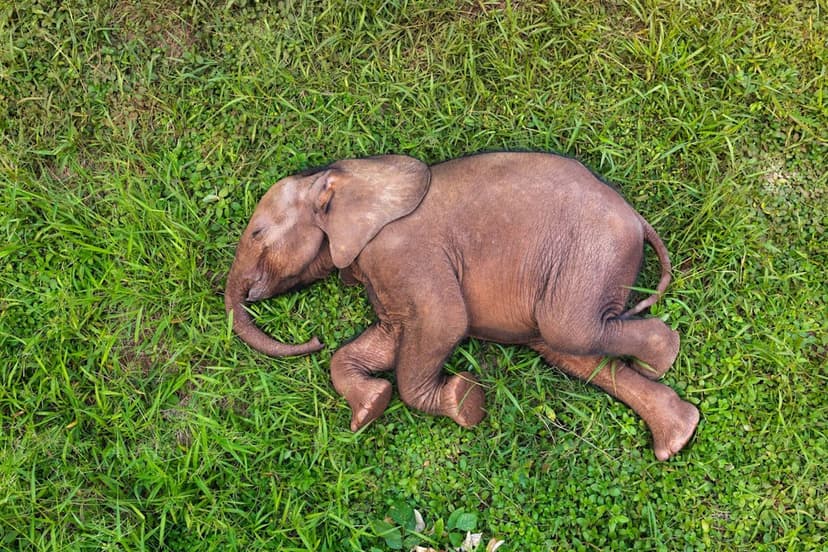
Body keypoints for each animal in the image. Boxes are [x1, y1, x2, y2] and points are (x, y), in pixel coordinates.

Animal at [224, 152, 699, 461]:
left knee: (571, 331)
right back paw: (677, 435)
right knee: (570, 352)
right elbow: (388, 338)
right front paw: (370, 408)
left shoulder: (402, 251)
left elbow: (443, 324)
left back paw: (663, 358)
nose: (314, 340)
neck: (351, 176)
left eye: (257, 233)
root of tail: (637, 218)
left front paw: (465, 402)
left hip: (591, 252)